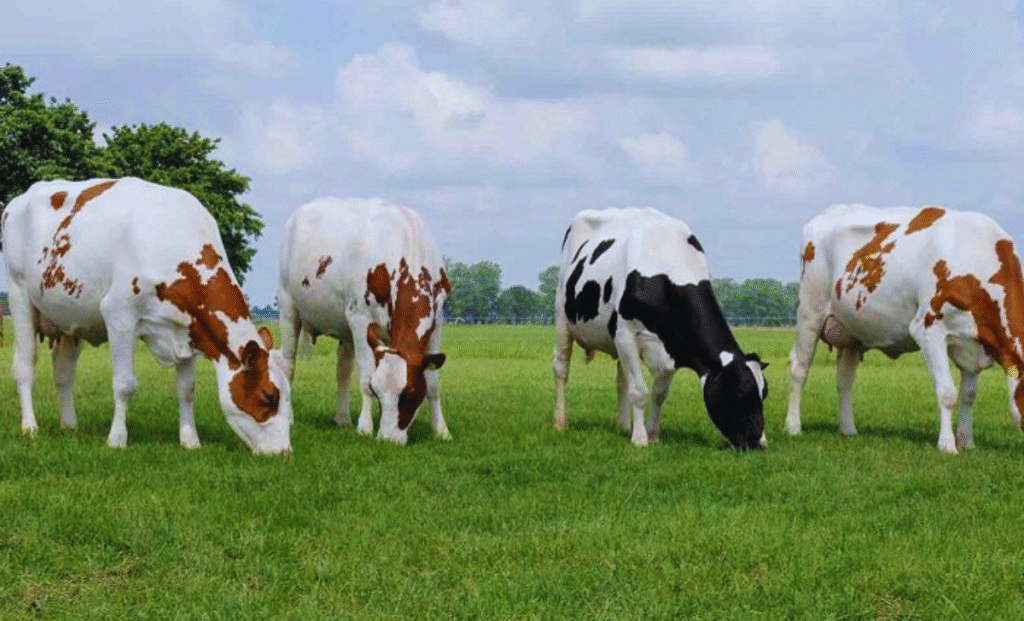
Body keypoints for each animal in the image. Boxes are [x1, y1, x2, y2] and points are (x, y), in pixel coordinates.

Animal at [1, 178, 292, 454]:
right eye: (268, 396)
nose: (283, 453)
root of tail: (21, 198)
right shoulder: (119, 314)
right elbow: (124, 384)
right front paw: (116, 439)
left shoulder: (189, 329)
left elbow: (187, 389)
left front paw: (190, 441)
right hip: (19, 293)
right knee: (24, 366)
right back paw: (30, 427)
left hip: (70, 317)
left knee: (63, 371)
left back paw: (70, 425)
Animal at [277, 197, 451, 445]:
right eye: (378, 392)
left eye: (409, 393)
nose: (388, 439)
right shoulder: (359, 319)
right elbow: (365, 378)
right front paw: (365, 428)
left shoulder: (437, 322)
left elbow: (433, 383)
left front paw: (441, 430)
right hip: (288, 306)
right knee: (288, 364)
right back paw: (289, 417)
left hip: (344, 327)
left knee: (343, 368)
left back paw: (343, 419)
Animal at [553, 207, 768, 449]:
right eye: (741, 392)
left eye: (765, 392)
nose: (760, 442)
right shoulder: (625, 335)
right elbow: (639, 391)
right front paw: (640, 439)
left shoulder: (674, 343)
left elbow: (659, 393)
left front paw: (653, 434)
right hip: (562, 315)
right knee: (561, 368)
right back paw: (560, 422)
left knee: (621, 380)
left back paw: (623, 425)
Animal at [787, 204, 1024, 453]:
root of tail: (828, 212)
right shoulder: (928, 330)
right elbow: (947, 392)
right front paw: (947, 445)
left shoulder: (974, 343)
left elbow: (968, 395)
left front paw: (967, 442)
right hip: (810, 312)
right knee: (799, 369)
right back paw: (794, 428)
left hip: (851, 330)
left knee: (844, 380)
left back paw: (848, 429)